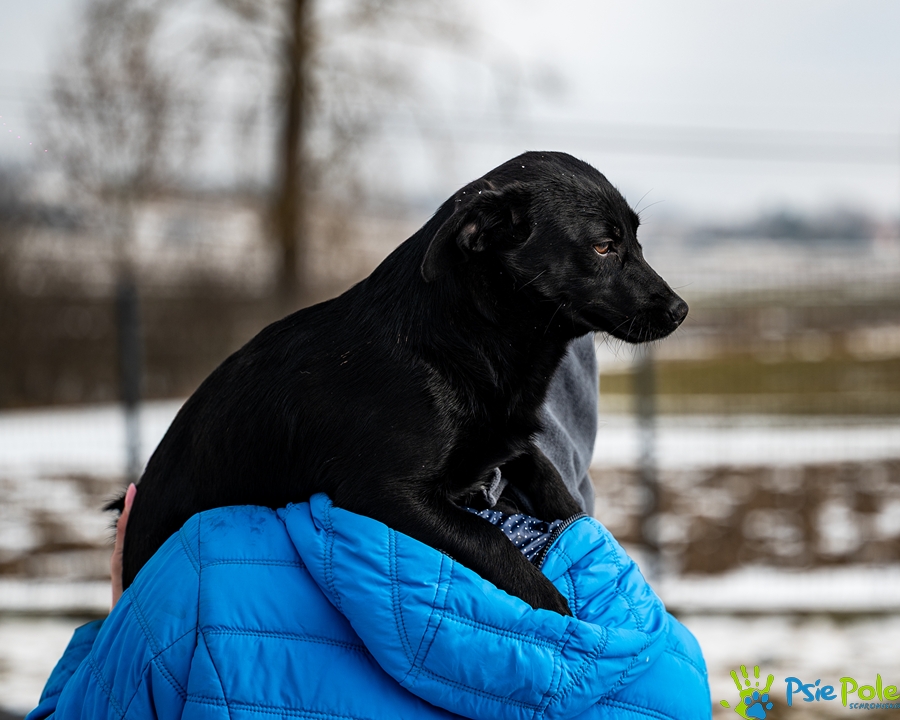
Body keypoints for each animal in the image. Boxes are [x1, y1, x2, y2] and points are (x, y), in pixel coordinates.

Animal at [111, 151, 687, 615]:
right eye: (604, 247)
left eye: (636, 240)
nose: (681, 310)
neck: (457, 339)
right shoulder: (388, 493)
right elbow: (490, 540)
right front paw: (563, 616)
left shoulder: (505, 440)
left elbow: (553, 485)